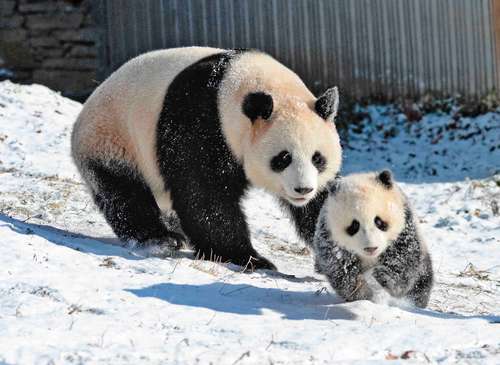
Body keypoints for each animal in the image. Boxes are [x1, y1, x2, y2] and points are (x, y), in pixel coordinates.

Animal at [71, 45, 344, 268]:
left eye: (318, 159)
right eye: (283, 158)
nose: (303, 189)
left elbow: (323, 207)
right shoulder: (199, 122)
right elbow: (204, 194)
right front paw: (249, 258)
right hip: (114, 140)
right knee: (124, 193)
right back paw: (161, 238)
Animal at [312, 169, 434, 306]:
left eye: (379, 222)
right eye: (354, 225)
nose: (371, 248)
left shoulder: (404, 228)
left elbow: (404, 260)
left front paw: (384, 277)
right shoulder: (330, 237)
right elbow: (340, 268)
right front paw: (364, 294)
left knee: (421, 279)